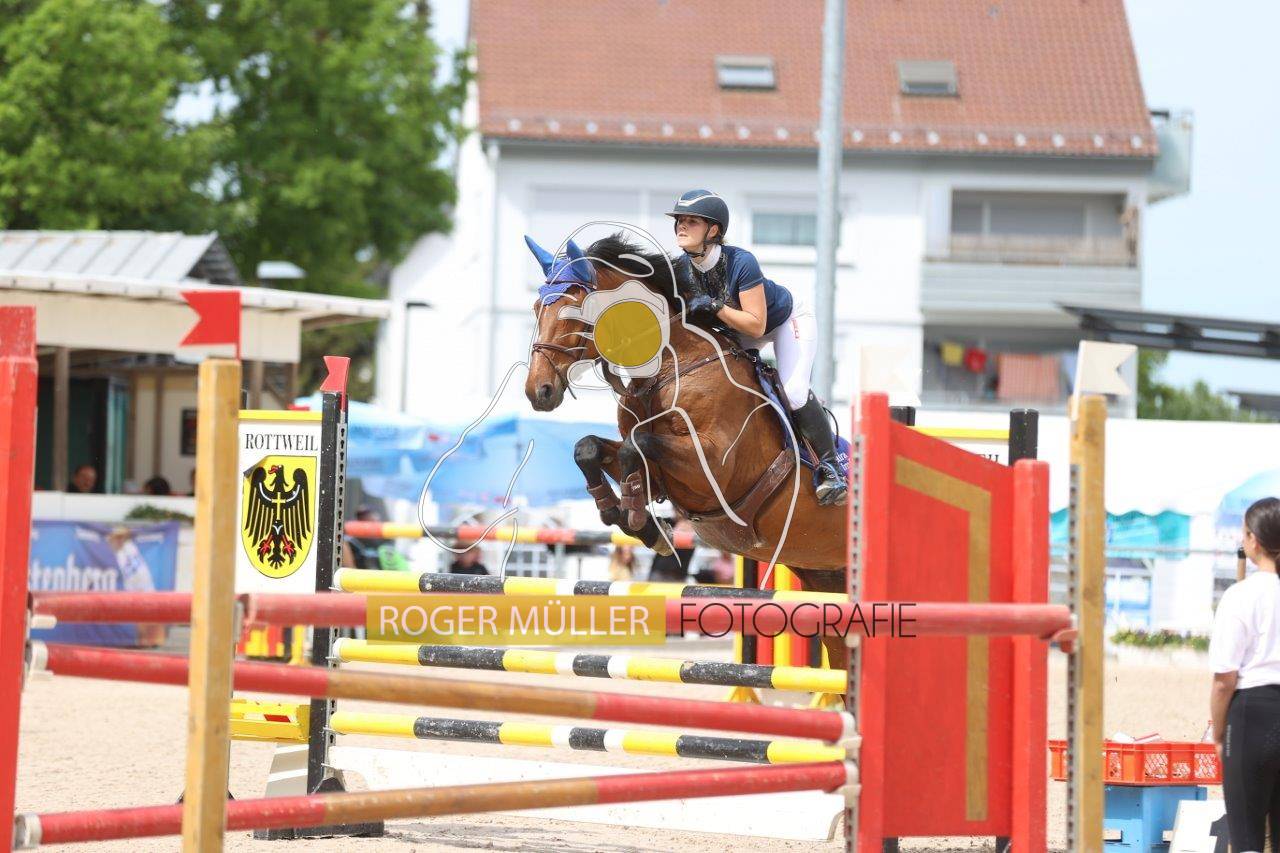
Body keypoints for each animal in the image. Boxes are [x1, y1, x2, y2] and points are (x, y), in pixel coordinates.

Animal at [523, 233, 848, 667]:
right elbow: (589, 448)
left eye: (574, 308)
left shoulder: (715, 466)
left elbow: (637, 445)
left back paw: (831, 479)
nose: (537, 391)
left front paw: (637, 516)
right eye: (538, 307)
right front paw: (624, 516)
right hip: (826, 577)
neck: (669, 365)